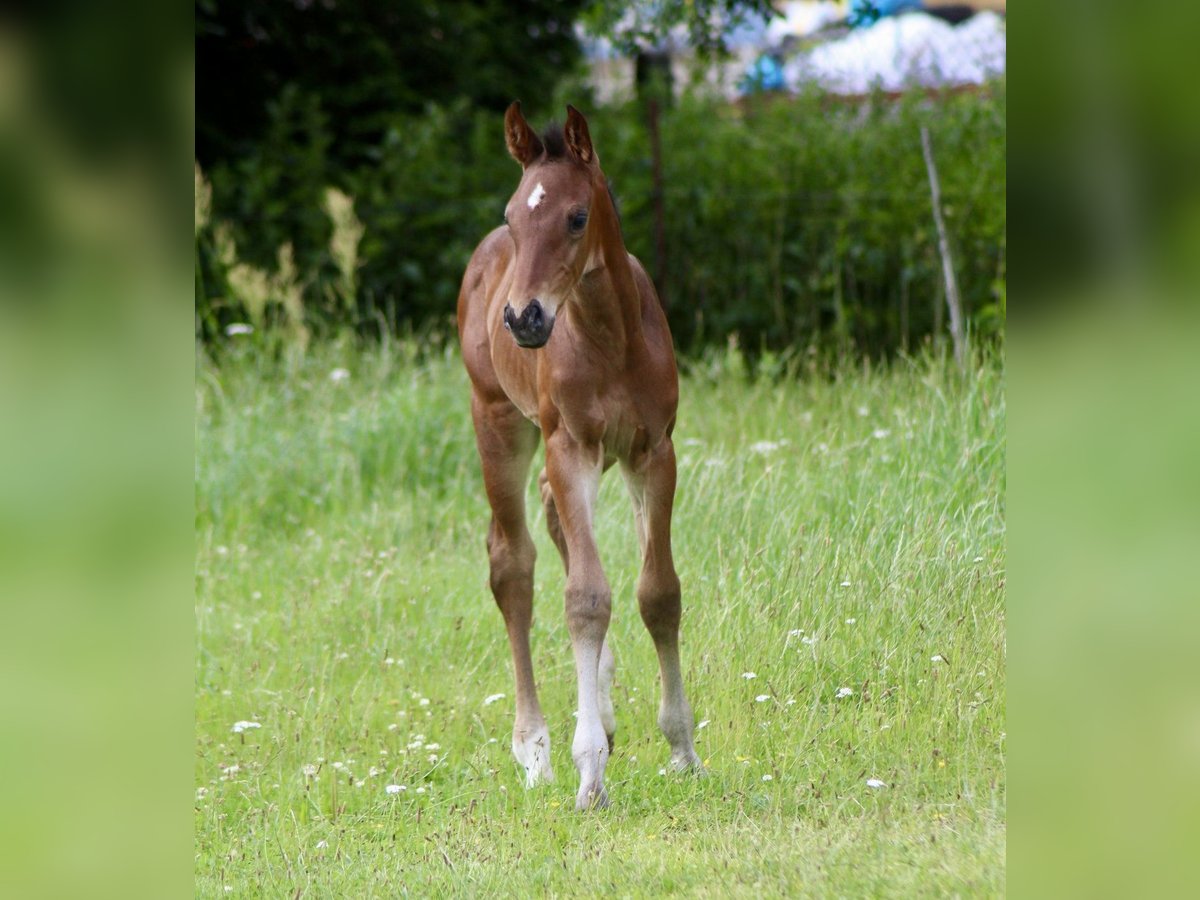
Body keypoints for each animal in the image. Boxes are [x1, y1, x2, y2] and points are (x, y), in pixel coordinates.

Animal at [456, 103, 700, 811]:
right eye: (514, 214)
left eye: (576, 216)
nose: (523, 318)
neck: (611, 338)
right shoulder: (572, 447)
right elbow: (587, 596)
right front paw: (588, 773)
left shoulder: (654, 452)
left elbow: (658, 592)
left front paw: (683, 750)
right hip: (499, 420)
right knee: (513, 562)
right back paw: (534, 749)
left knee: (552, 519)